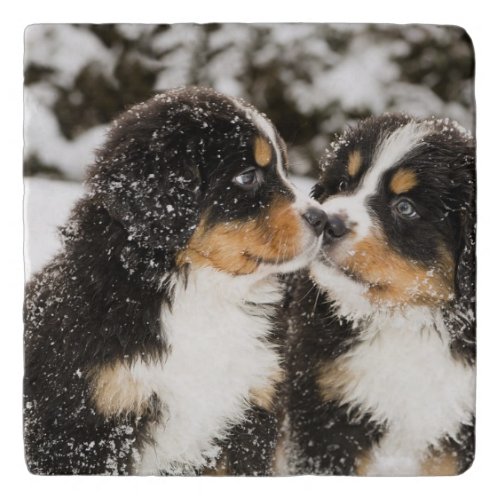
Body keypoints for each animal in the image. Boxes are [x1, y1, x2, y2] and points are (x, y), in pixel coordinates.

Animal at [24, 87, 328, 476]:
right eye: (247, 177)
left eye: (285, 170)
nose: (323, 219)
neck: (203, 293)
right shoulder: (90, 426)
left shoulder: (251, 413)